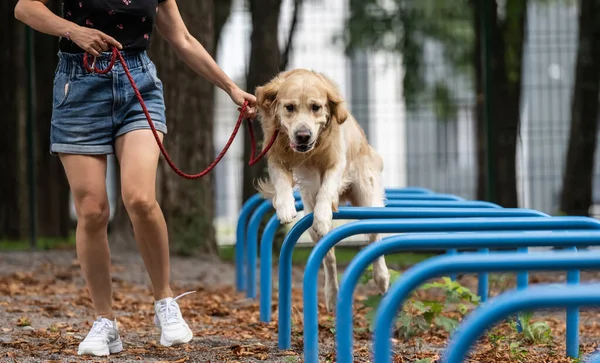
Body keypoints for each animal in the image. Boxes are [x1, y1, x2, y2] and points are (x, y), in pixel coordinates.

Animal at [253, 69, 390, 312]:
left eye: (316, 107)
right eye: (289, 107)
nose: (303, 135)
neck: (311, 151)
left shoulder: (336, 162)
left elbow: (326, 189)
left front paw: (324, 216)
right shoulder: (276, 156)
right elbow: (281, 182)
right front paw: (285, 207)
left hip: (366, 196)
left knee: (374, 238)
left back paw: (382, 278)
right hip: (310, 219)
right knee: (328, 257)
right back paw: (332, 294)